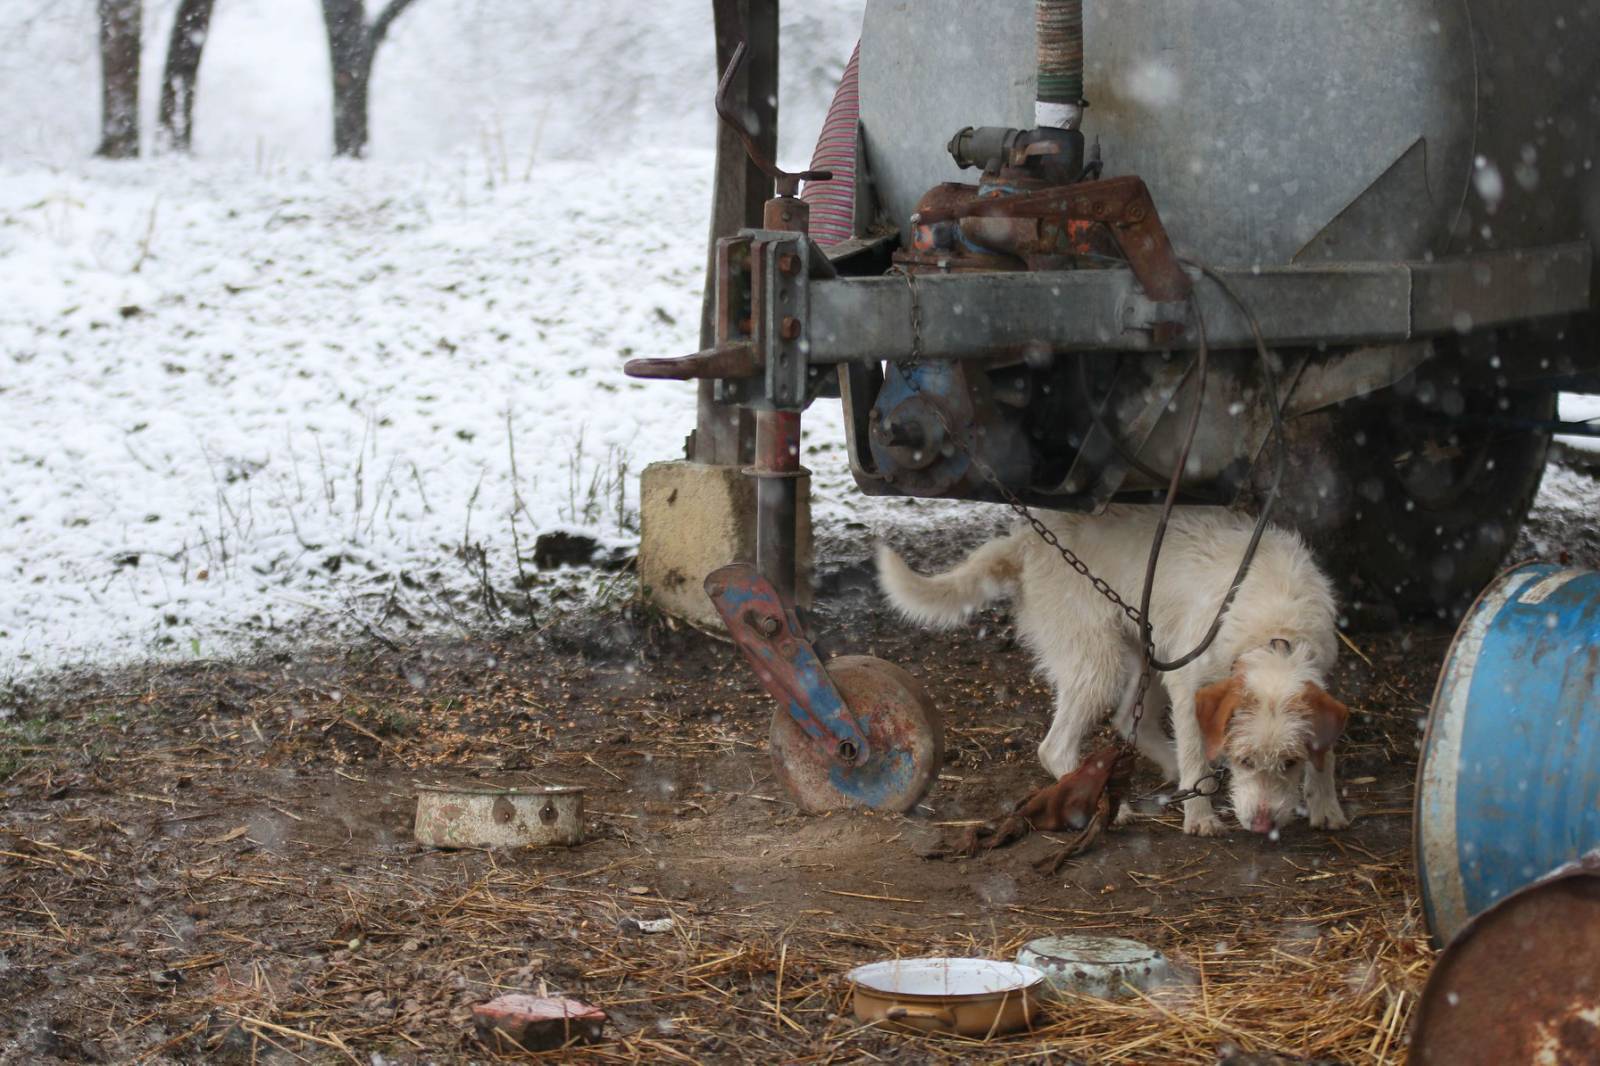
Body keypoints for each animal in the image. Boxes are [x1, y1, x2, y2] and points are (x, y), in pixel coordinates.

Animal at [876, 502, 1350, 832]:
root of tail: (1027, 541)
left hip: (1149, 649)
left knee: (1126, 720)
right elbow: (1196, 753)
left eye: (1290, 762)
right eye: (1245, 760)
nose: (1263, 825)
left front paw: (1326, 806)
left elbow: (1324, 756)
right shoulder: (1188, 683)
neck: (1275, 630)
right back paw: (1101, 805)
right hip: (1101, 664)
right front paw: (1200, 816)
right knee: (1056, 747)